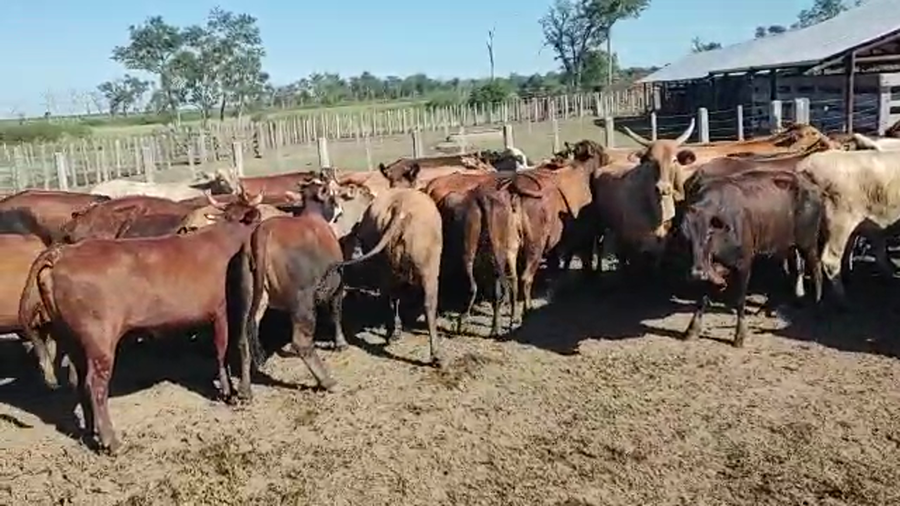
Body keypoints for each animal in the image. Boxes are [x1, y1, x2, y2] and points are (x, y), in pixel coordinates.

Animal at [18, 192, 263, 454]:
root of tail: (61, 254)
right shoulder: (220, 310)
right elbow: (222, 350)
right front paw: (228, 391)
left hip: (70, 336)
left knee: (82, 382)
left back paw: (92, 431)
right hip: (99, 338)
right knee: (95, 385)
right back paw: (111, 441)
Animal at [330, 162, 444, 367]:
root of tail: (399, 205)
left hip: (384, 266)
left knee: (390, 297)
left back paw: (393, 331)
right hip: (429, 268)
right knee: (429, 304)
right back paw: (435, 354)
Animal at [679, 169, 825, 347]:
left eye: (708, 234)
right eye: (685, 237)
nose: (696, 273)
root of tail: (808, 182)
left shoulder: (743, 264)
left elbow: (739, 300)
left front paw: (740, 335)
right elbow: (701, 299)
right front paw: (692, 330)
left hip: (808, 243)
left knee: (817, 269)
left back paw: (817, 305)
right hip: (786, 246)